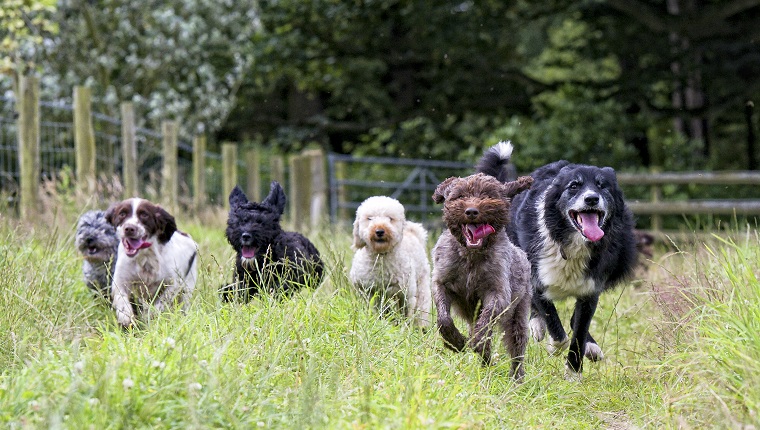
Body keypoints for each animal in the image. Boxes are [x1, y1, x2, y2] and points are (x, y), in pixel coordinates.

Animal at [348, 197, 430, 328]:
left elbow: (406, 314)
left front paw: (404, 329)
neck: (381, 256)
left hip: (422, 285)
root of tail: (413, 233)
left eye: (390, 218)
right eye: (369, 218)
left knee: (422, 308)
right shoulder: (368, 291)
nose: (379, 231)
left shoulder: (406, 294)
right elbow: (374, 310)